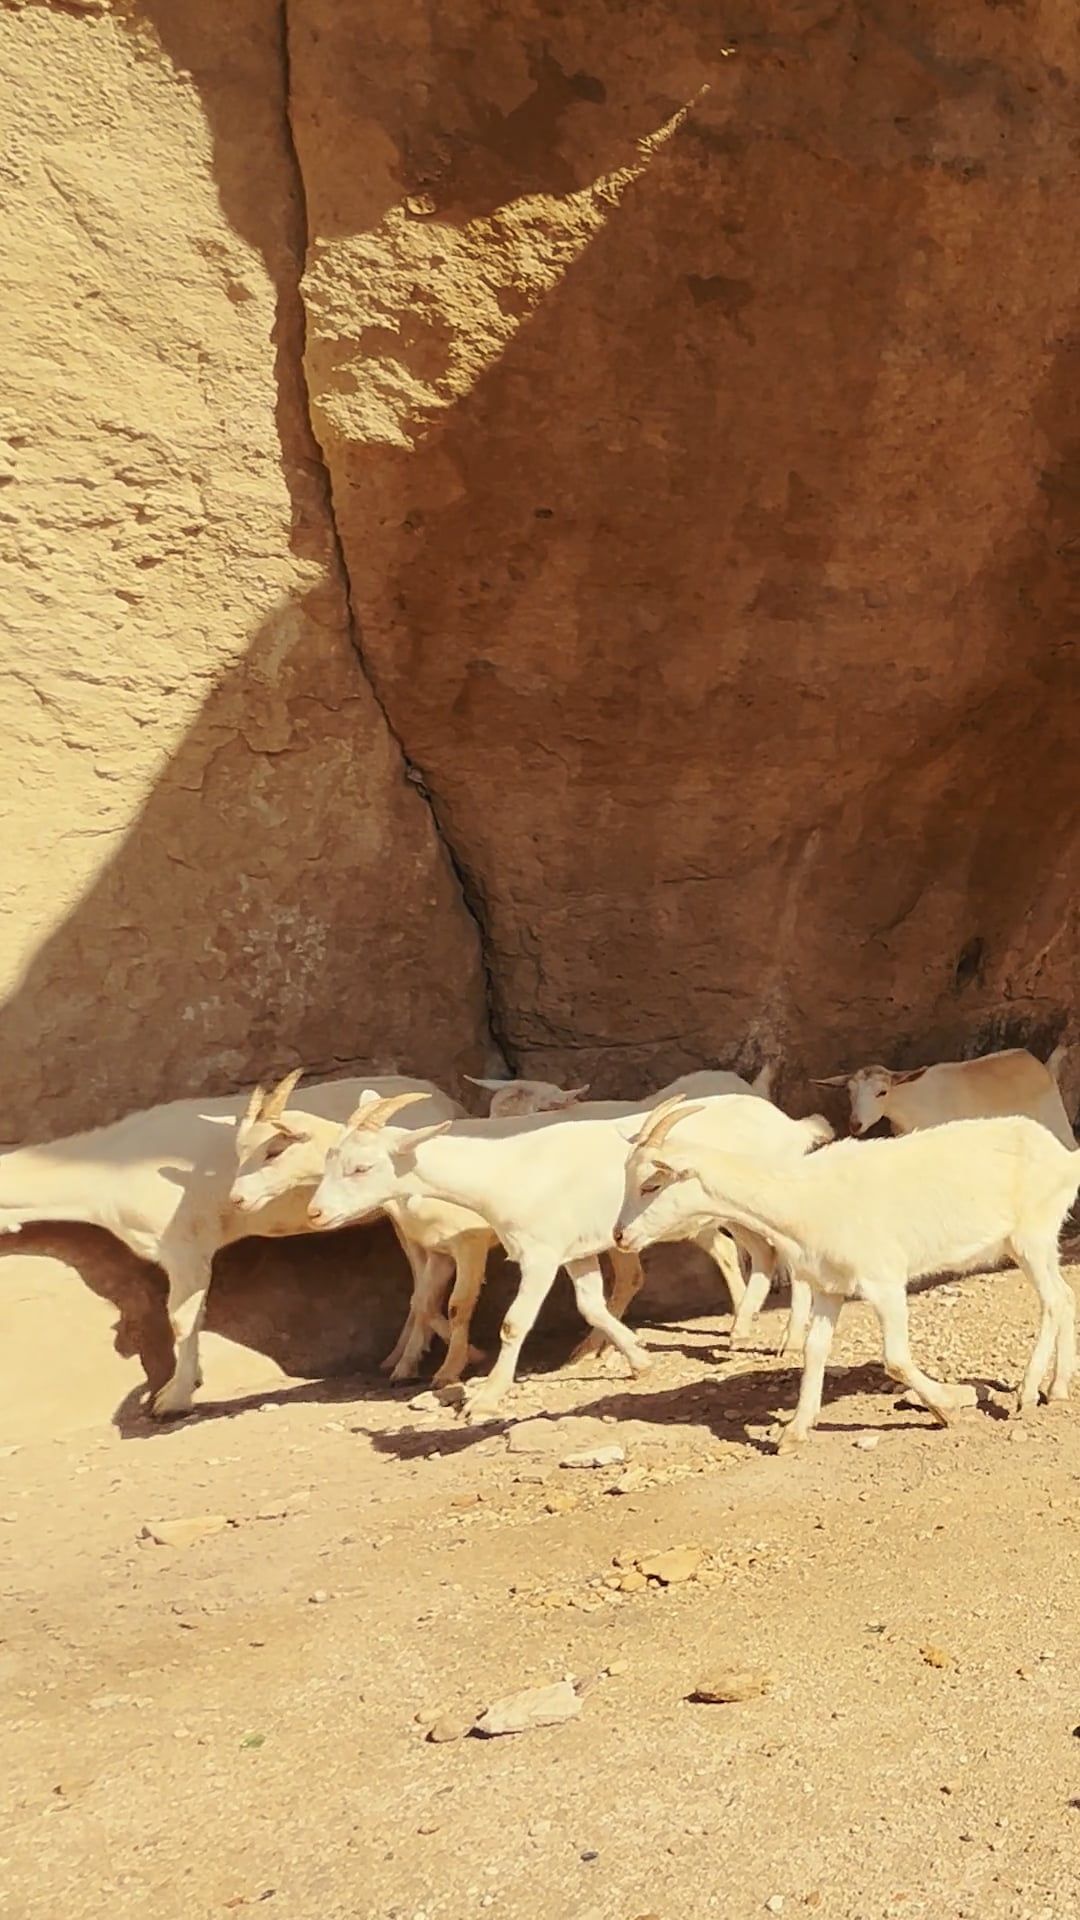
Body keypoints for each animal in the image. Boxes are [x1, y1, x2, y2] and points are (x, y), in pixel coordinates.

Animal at [0, 1068, 450, 1418]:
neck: (107, 1174)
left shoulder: (185, 1246)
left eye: (274, 1150)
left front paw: (173, 1399)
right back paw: (396, 1358)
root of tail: (447, 1103)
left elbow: (182, 1318)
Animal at [307, 1076, 829, 1421]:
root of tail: (790, 1125)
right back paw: (740, 1329)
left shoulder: (538, 1252)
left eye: (361, 1167)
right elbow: (591, 1305)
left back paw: (787, 1338)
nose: (315, 1213)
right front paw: (638, 1359)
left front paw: (484, 1397)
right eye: (330, 1158)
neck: (506, 1168)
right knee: (759, 1254)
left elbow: (513, 1323)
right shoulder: (575, 1252)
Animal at [614, 1102, 1079, 1452]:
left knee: (1053, 1300)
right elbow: (815, 1351)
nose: (620, 1236)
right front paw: (794, 1432)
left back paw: (1026, 1393)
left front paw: (945, 1408)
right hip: (1031, 1242)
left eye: (652, 1183)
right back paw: (1057, 1388)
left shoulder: (884, 1281)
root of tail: (1064, 1157)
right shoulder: (828, 1287)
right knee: (1065, 1296)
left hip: (1031, 1236)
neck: (803, 1196)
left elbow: (895, 1359)